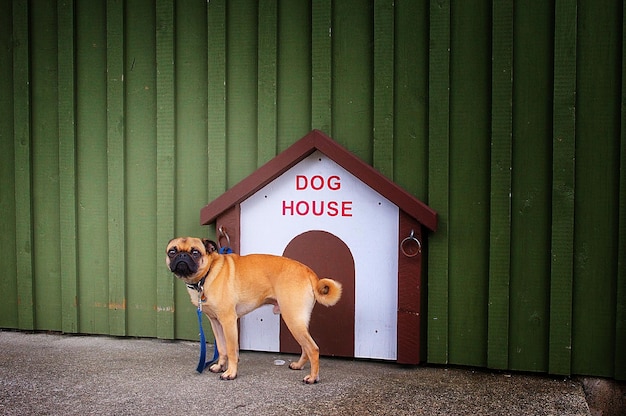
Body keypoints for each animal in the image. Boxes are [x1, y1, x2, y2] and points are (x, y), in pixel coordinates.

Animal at [165, 237, 342, 384]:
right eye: (172, 251)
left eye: (195, 252)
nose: (182, 256)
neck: (206, 275)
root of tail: (309, 273)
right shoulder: (216, 323)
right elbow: (222, 349)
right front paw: (220, 366)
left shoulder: (228, 322)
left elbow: (231, 350)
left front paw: (230, 373)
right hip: (297, 322)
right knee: (306, 348)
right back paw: (299, 365)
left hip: (293, 320)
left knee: (313, 349)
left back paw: (313, 377)